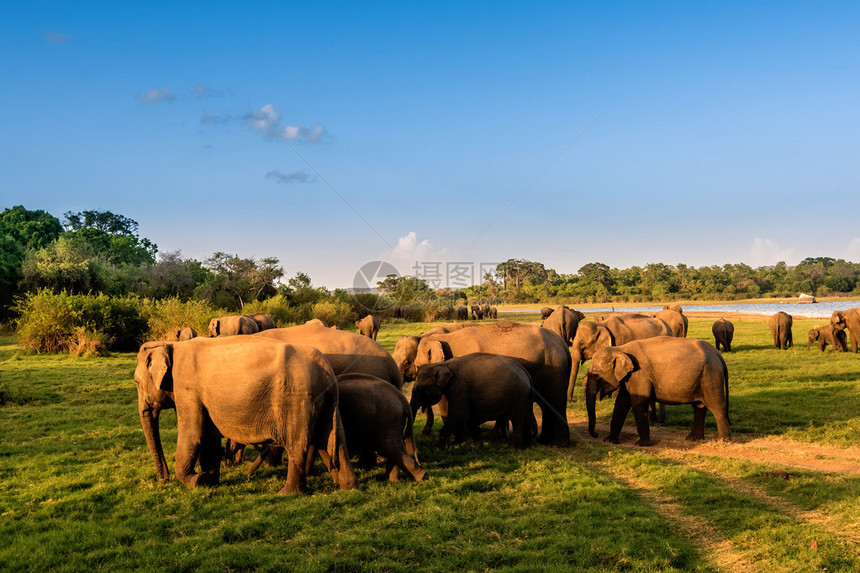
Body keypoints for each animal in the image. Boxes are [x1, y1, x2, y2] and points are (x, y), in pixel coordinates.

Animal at [134, 336, 356, 492]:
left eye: (136, 382)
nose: (164, 480)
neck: (170, 344)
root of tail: (327, 370)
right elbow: (209, 437)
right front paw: (209, 480)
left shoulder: (187, 389)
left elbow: (194, 435)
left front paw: (198, 480)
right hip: (323, 401)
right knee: (335, 440)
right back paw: (348, 487)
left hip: (298, 398)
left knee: (298, 444)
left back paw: (287, 493)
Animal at [410, 322, 572, 446]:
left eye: (417, 366)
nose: (424, 433)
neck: (445, 338)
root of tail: (563, 345)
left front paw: (466, 437)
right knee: (546, 406)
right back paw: (544, 440)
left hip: (554, 368)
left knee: (556, 402)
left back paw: (559, 444)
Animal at [580, 338, 728, 444]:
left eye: (597, 376)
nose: (596, 435)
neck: (620, 349)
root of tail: (718, 354)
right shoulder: (630, 378)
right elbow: (621, 403)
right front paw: (610, 441)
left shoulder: (640, 375)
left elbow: (638, 403)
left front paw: (642, 444)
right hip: (701, 378)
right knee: (699, 407)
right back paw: (693, 439)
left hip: (711, 376)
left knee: (717, 407)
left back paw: (722, 441)